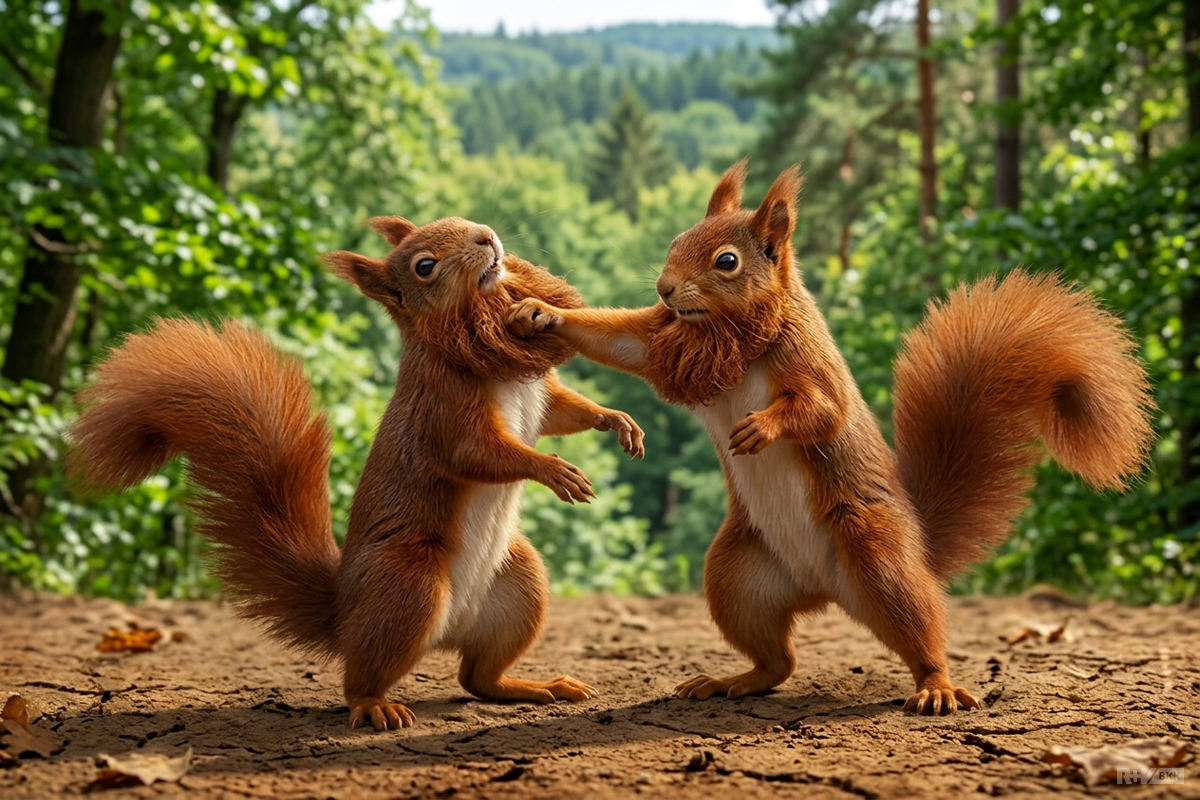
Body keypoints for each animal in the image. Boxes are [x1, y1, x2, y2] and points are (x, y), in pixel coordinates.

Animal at [69, 215, 645, 731]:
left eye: (459, 220)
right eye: (425, 266)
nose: (486, 236)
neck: (465, 335)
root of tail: (344, 611)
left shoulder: (540, 394)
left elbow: (561, 411)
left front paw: (615, 420)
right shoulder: (442, 406)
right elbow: (475, 453)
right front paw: (553, 470)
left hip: (519, 583)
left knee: (477, 679)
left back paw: (537, 687)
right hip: (409, 583)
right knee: (364, 676)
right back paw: (374, 705)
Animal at [507, 159, 1155, 715]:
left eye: (726, 261)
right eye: (675, 241)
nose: (665, 289)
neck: (737, 332)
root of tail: (824, 589)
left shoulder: (810, 364)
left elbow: (821, 412)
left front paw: (762, 427)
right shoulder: (667, 342)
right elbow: (622, 341)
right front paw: (541, 312)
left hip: (876, 553)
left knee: (919, 630)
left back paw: (936, 686)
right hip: (737, 574)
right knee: (778, 660)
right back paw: (729, 680)